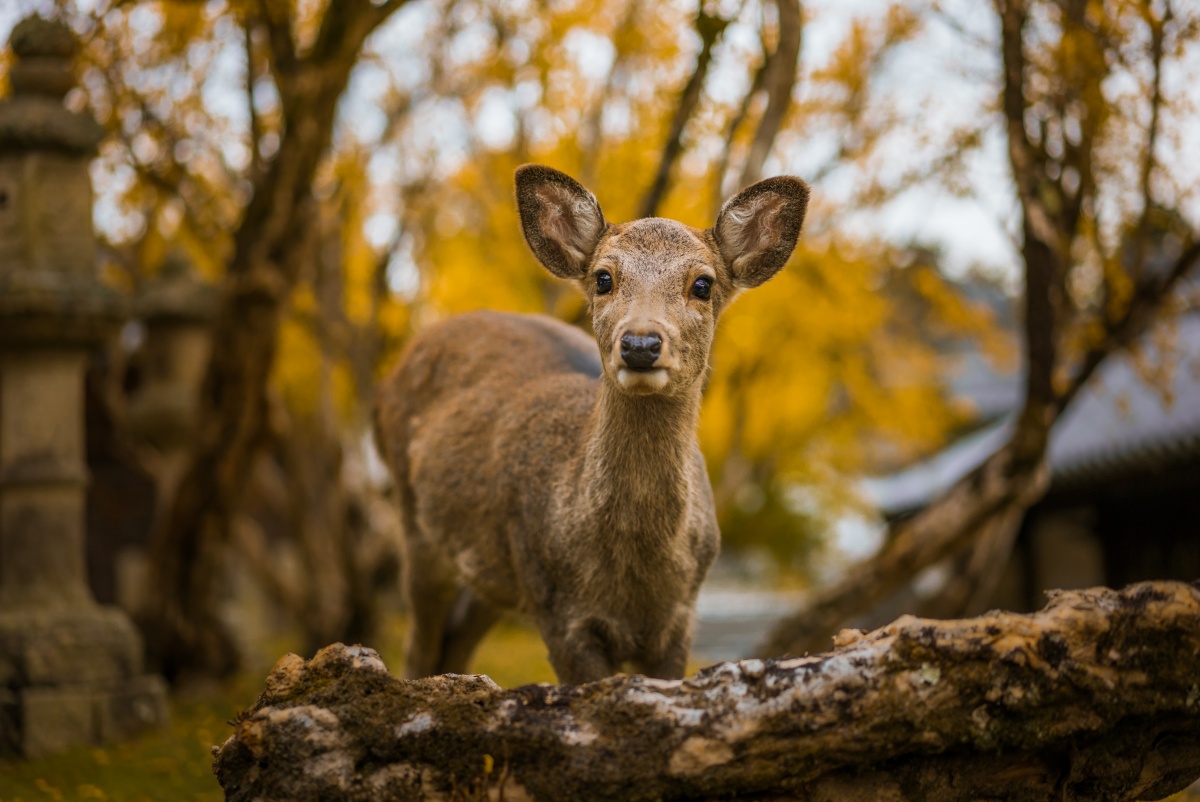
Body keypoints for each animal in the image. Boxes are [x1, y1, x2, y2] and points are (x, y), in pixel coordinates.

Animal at [374, 164, 806, 681]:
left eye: (702, 284)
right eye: (603, 278)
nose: (640, 343)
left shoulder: (680, 619)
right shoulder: (558, 611)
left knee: (455, 639)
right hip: (417, 525)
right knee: (420, 642)